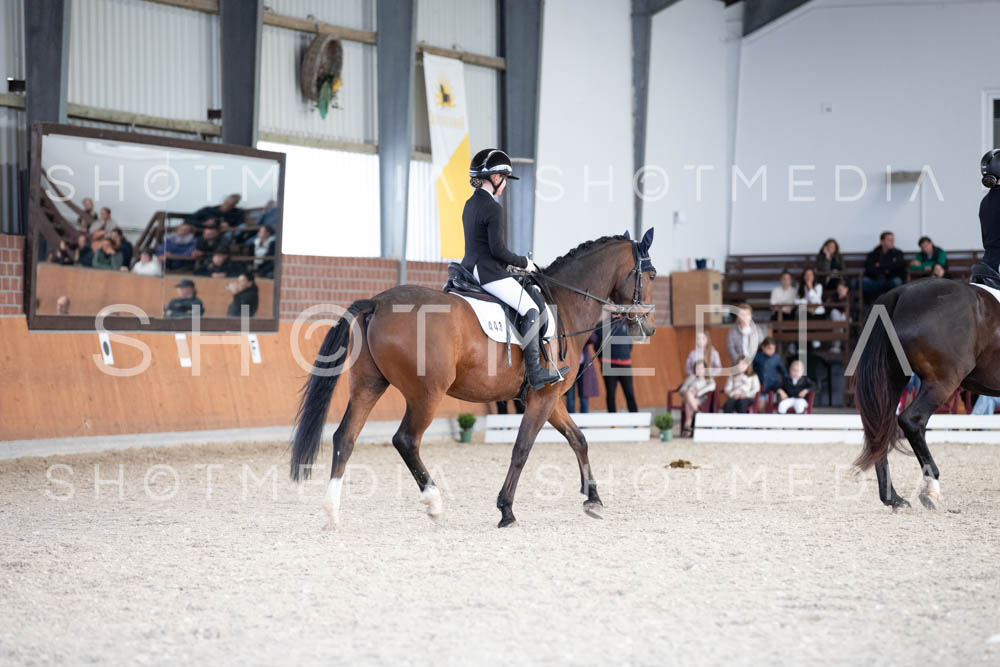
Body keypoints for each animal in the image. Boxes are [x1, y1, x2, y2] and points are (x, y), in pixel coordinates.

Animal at [290, 229, 657, 528]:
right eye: (652, 274)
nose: (650, 328)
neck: (562, 305)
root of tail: (377, 303)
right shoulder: (543, 397)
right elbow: (522, 448)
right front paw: (506, 510)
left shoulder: (552, 398)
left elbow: (578, 439)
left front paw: (592, 499)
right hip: (427, 394)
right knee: (405, 440)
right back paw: (434, 504)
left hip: (369, 385)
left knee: (345, 438)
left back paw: (332, 513)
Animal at [854, 276, 1000, 509]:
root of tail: (901, 293)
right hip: (941, 382)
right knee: (911, 420)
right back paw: (931, 489)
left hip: (893, 379)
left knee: (880, 430)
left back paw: (893, 498)